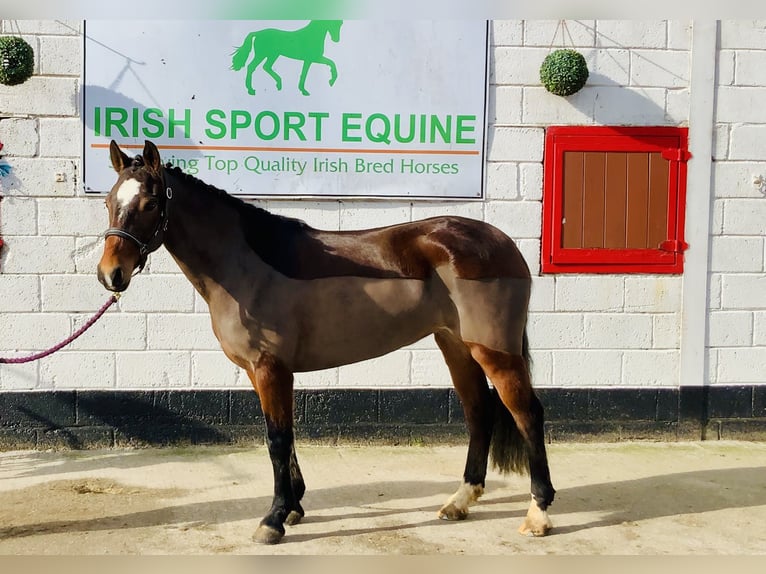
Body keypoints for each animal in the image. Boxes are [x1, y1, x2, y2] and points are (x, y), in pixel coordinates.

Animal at [99, 140, 556, 544]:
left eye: (150, 204)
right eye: (108, 201)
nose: (110, 274)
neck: (245, 264)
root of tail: (504, 243)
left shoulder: (270, 368)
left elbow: (277, 439)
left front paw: (273, 519)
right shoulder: (264, 372)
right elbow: (284, 435)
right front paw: (293, 508)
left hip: (494, 352)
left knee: (527, 414)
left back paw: (537, 514)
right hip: (455, 347)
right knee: (479, 412)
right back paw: (461, 501)